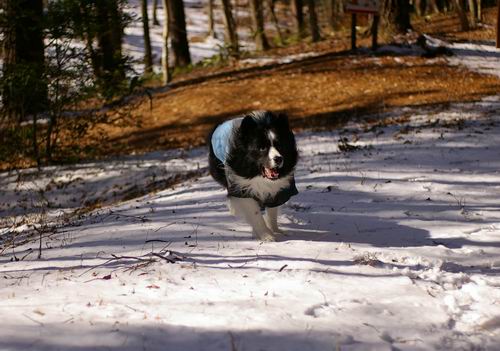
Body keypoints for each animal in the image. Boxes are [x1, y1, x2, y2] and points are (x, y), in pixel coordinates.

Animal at [209, 112, 298, 242]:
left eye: (280, 146)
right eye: (262, 148)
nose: (278, 159)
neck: (259, 176)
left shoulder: (277, 191)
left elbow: (272, 211)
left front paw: (276, 231)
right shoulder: (242, 188)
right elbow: (254, 214)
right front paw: (266, 235)